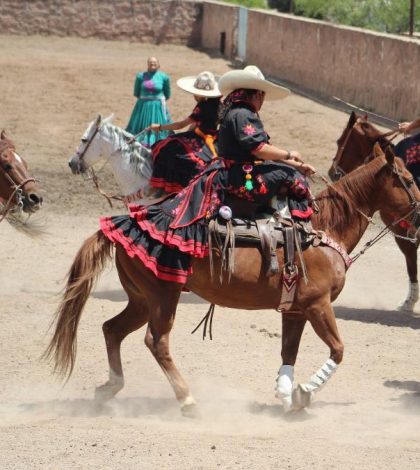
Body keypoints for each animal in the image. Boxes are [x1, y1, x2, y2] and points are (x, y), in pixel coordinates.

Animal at [44, 148, 418, 414]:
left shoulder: (295, 310)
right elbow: (338, 350)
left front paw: (286, 396)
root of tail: (124, 223)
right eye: (410, 180)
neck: (323, 231)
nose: (418, 218)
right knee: (156, 341)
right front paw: (304, 392)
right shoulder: (317, 305)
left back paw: (110, 388)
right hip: (163, 296)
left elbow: (289, 351)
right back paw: (187, 399)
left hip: (141, 299)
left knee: (112, 329)